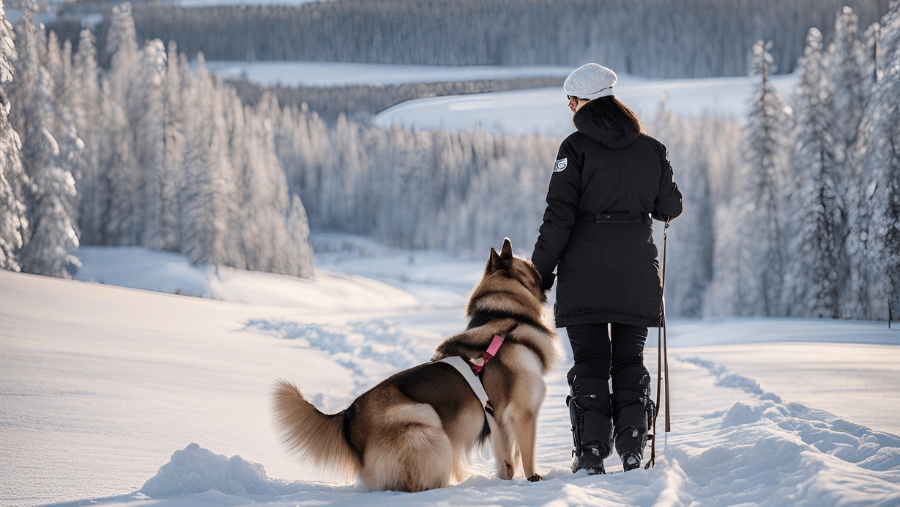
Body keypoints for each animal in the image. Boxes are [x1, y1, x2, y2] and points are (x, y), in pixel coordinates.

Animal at [270, 240, 560, 494]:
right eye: (532, 266)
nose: (552, 271)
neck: (506, 317)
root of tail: (349, 415)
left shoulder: (499, 421)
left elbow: (507, 462)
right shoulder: (524, 414)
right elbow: (527, 456)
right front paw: (534, 478)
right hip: (428, 422)